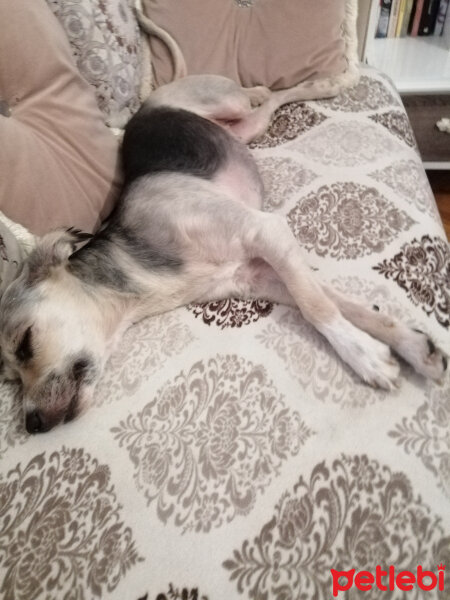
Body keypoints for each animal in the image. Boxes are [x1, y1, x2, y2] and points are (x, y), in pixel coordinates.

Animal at [0, 75, 446, 434]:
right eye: (10, 379)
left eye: (25, 343)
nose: (33, 424)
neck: (141, 269)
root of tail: (148, 101)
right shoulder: (261, 276)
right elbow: (341, 305)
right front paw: (412, 346)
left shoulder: (267, 232)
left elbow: (317, 307)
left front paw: (365, 356)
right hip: (246, 129)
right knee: (268, 104)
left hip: (225, 102)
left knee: (264, 94)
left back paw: (318, 84)